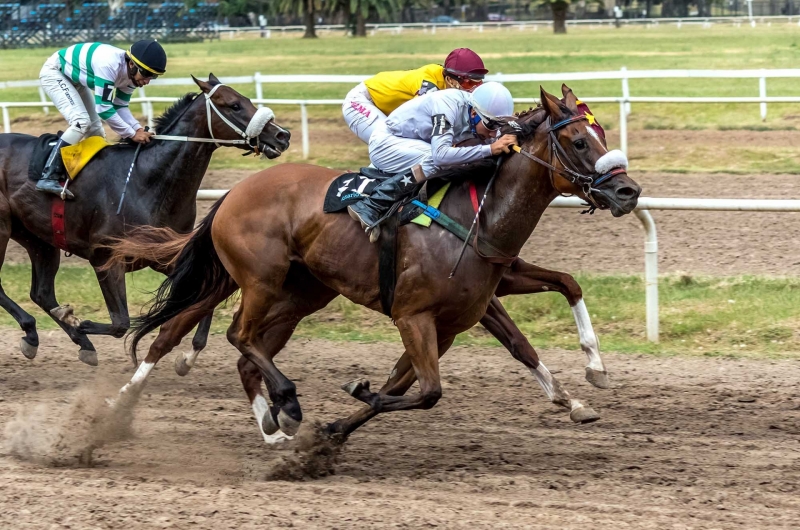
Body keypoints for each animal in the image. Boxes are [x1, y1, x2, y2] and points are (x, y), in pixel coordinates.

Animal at [0, 74, 290, 364]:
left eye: (247, 100)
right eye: (234, 105)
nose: (282, 135)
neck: (148, 181)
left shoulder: (166, 256)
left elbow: (201, 298)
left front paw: (189, 355)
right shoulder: (105, 258)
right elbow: (121, 324)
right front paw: (77, 321)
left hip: (37, 238)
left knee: (42, 292)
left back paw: (66, 341)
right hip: (5, 230)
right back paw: (40, 331)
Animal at [112, 85, 640, 442]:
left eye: (602, 132)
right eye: (579, 141)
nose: (627, 190)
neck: (479, 215)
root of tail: (233, 192)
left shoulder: (459, 314)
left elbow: (552, 303)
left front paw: (585, 383)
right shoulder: (414, 316)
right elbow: (428, 391)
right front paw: (351, 397)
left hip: (295, 290)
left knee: (229, 344)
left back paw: (272, 427)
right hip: (260, 279)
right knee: (231, 335)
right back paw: (278, 404)